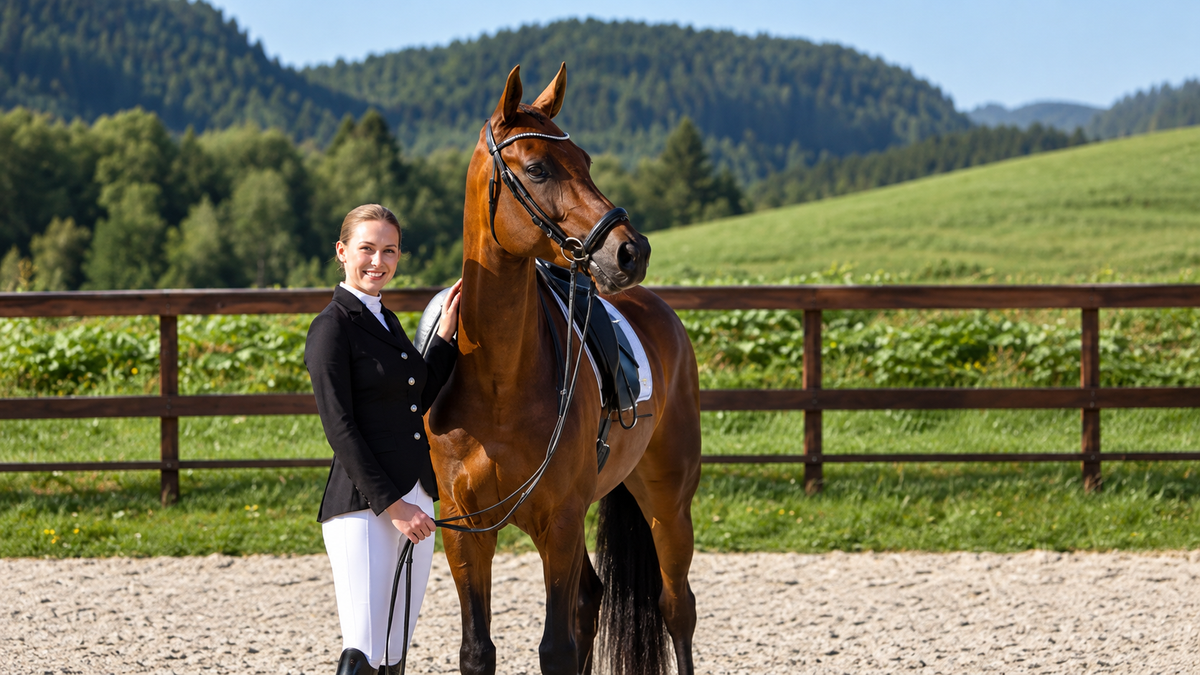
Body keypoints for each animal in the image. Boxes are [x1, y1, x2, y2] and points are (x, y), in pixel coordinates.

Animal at [424, 63, 702, 675]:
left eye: (587, 161)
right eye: (537, 167)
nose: (631, 251)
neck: (500, 380)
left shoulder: (561, 520)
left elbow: (555, 648)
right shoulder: (466, 530)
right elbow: (478, 650)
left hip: (668, 504)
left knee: (677, 608)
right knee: (591, 600)